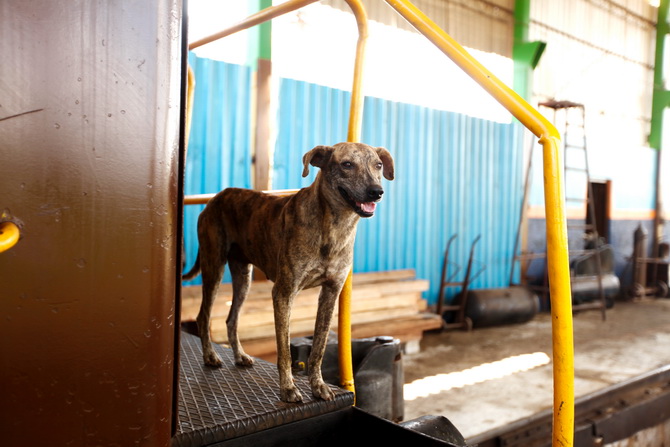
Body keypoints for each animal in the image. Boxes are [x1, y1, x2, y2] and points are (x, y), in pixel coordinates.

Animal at [182, 143, 394, 402]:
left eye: (378, 165)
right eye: (347, 164)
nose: (377, 192)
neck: (333, 226)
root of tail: (217, 197)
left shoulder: (331, 292)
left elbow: (319, 347)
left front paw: (318, 386)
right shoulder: (283, 292)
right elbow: (283, 350)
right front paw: (288, 389)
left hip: (243, 277)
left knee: (231, 319)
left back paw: (240, 356)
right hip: (214, 266)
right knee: (203, 316)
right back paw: (210, 357)